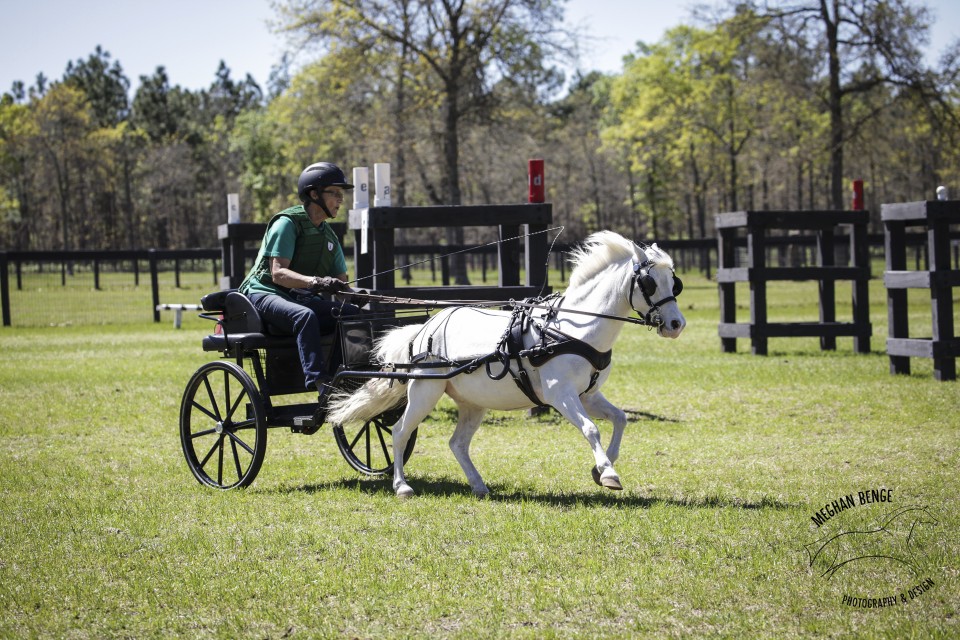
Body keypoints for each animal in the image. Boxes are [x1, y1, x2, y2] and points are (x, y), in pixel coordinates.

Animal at [328, 231, 684, 500]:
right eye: (649, 283)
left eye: (674, 281)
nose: (676, 324)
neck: (572, 329)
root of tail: (425, 328)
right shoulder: (561, 395)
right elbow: (591, 429)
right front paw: (608, 473)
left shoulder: (588, 395)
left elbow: (620, 419)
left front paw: (601, 469)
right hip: (425, 392)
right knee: (401, 431)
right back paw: (402, 486)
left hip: (473, 403)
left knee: (457, 443)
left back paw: (478, 485)